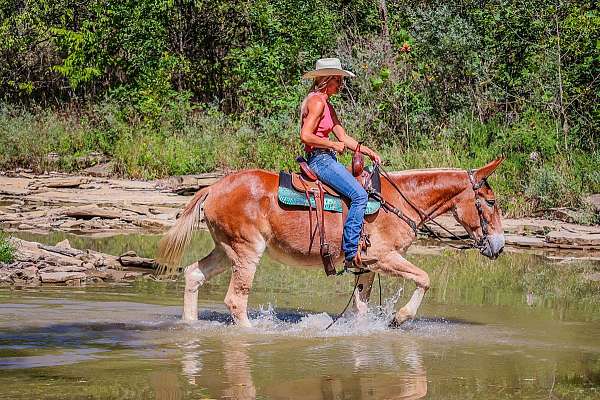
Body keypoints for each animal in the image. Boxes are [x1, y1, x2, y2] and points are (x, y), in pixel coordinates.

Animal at [157, 158, 504, 326]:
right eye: (490, 201)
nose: (499, 246)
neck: (399, 202)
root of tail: (212, 188)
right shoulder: (384, 257)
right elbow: (424, 278)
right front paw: (400, 317)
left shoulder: (366, 266)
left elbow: (361, 307)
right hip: (246, 252)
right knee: (235, 300)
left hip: (225, 250)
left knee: (193, 274)